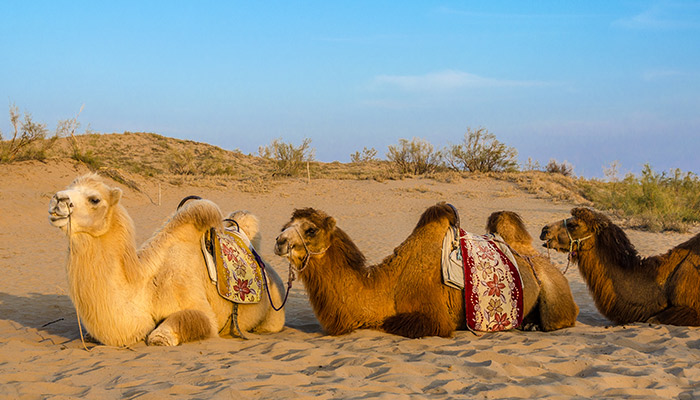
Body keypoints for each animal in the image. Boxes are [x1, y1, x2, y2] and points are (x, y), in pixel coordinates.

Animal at [48, 173, 284, 346]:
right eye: (68, 186)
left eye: (94, 199)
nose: (58, 199)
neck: (144, 286)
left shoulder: (199, 308)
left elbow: (161, 336)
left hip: (274, 313)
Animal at [274, 203, 580, 338]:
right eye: (284, 227)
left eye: (310, 230)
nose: (279, 241)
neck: (388, 287)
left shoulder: (434, 318)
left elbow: (394, 324)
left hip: (555, 292)